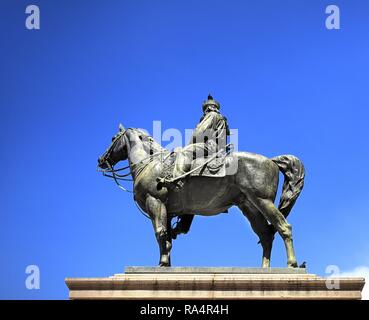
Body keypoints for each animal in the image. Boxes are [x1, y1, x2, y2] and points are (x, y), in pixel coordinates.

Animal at [98, 125, 304, 268]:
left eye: (113, 138)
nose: (101, 160)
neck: (150, 163)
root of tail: (272, 161)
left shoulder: (155, 202)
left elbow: (160, 233)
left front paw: (163, 263)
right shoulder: (168, 211)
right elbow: (168, 239)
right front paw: (166, 264)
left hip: (262, 201)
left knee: (284, 227)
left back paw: (292, 264)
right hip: (250, 207)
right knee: (266, 235)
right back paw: (264, 269)